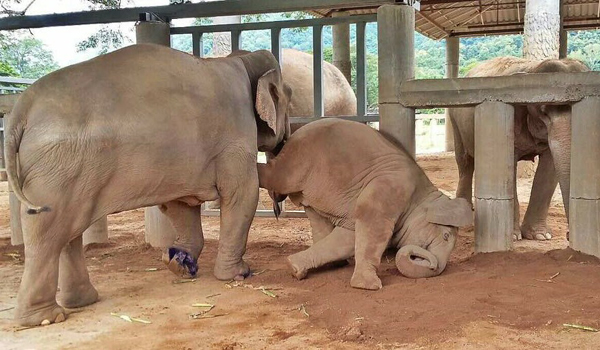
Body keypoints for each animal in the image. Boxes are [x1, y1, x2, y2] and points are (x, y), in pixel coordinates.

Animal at [5, 43, 292, 326]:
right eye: (289, 97)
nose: (278, 208)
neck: (240, 60)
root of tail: (22, 108)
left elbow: (180, 204)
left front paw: (177, 263)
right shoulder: (236, 133)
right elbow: (242, 196)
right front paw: (238, 274)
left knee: (66, 234)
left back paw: (80, 302)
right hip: (57, 170)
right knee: (48, 233)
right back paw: (45, 318)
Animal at [258, 119, 474, 290]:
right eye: (446, 236)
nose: (432, 264)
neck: (423, 192)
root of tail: (293, 136)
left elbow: (347, 238)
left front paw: (294, 268)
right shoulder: (387, 191)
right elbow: (370, 227)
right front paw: (370, 286)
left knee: (317, 219)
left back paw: (336, 265)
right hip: (297, 162)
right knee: (274, 175)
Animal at [450, 56, 584, 241]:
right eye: (544, 112)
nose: (568, 235)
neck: (532, 68)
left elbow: (550, 167)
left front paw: (541, 236)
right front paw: (513, 237)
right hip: (455, 121)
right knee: (464, 162)